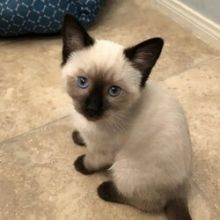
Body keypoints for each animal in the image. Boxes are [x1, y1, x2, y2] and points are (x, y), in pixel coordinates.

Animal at [61, 15, 192, 220]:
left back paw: (105, 190)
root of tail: (181, 190)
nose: (91, 109)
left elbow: (91, 160)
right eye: (83, 82)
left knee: (149, 203)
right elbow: (82, 137)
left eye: (113, 91)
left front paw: (81, 165)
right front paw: (78, 137)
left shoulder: (103, 152)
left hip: (125, 169)